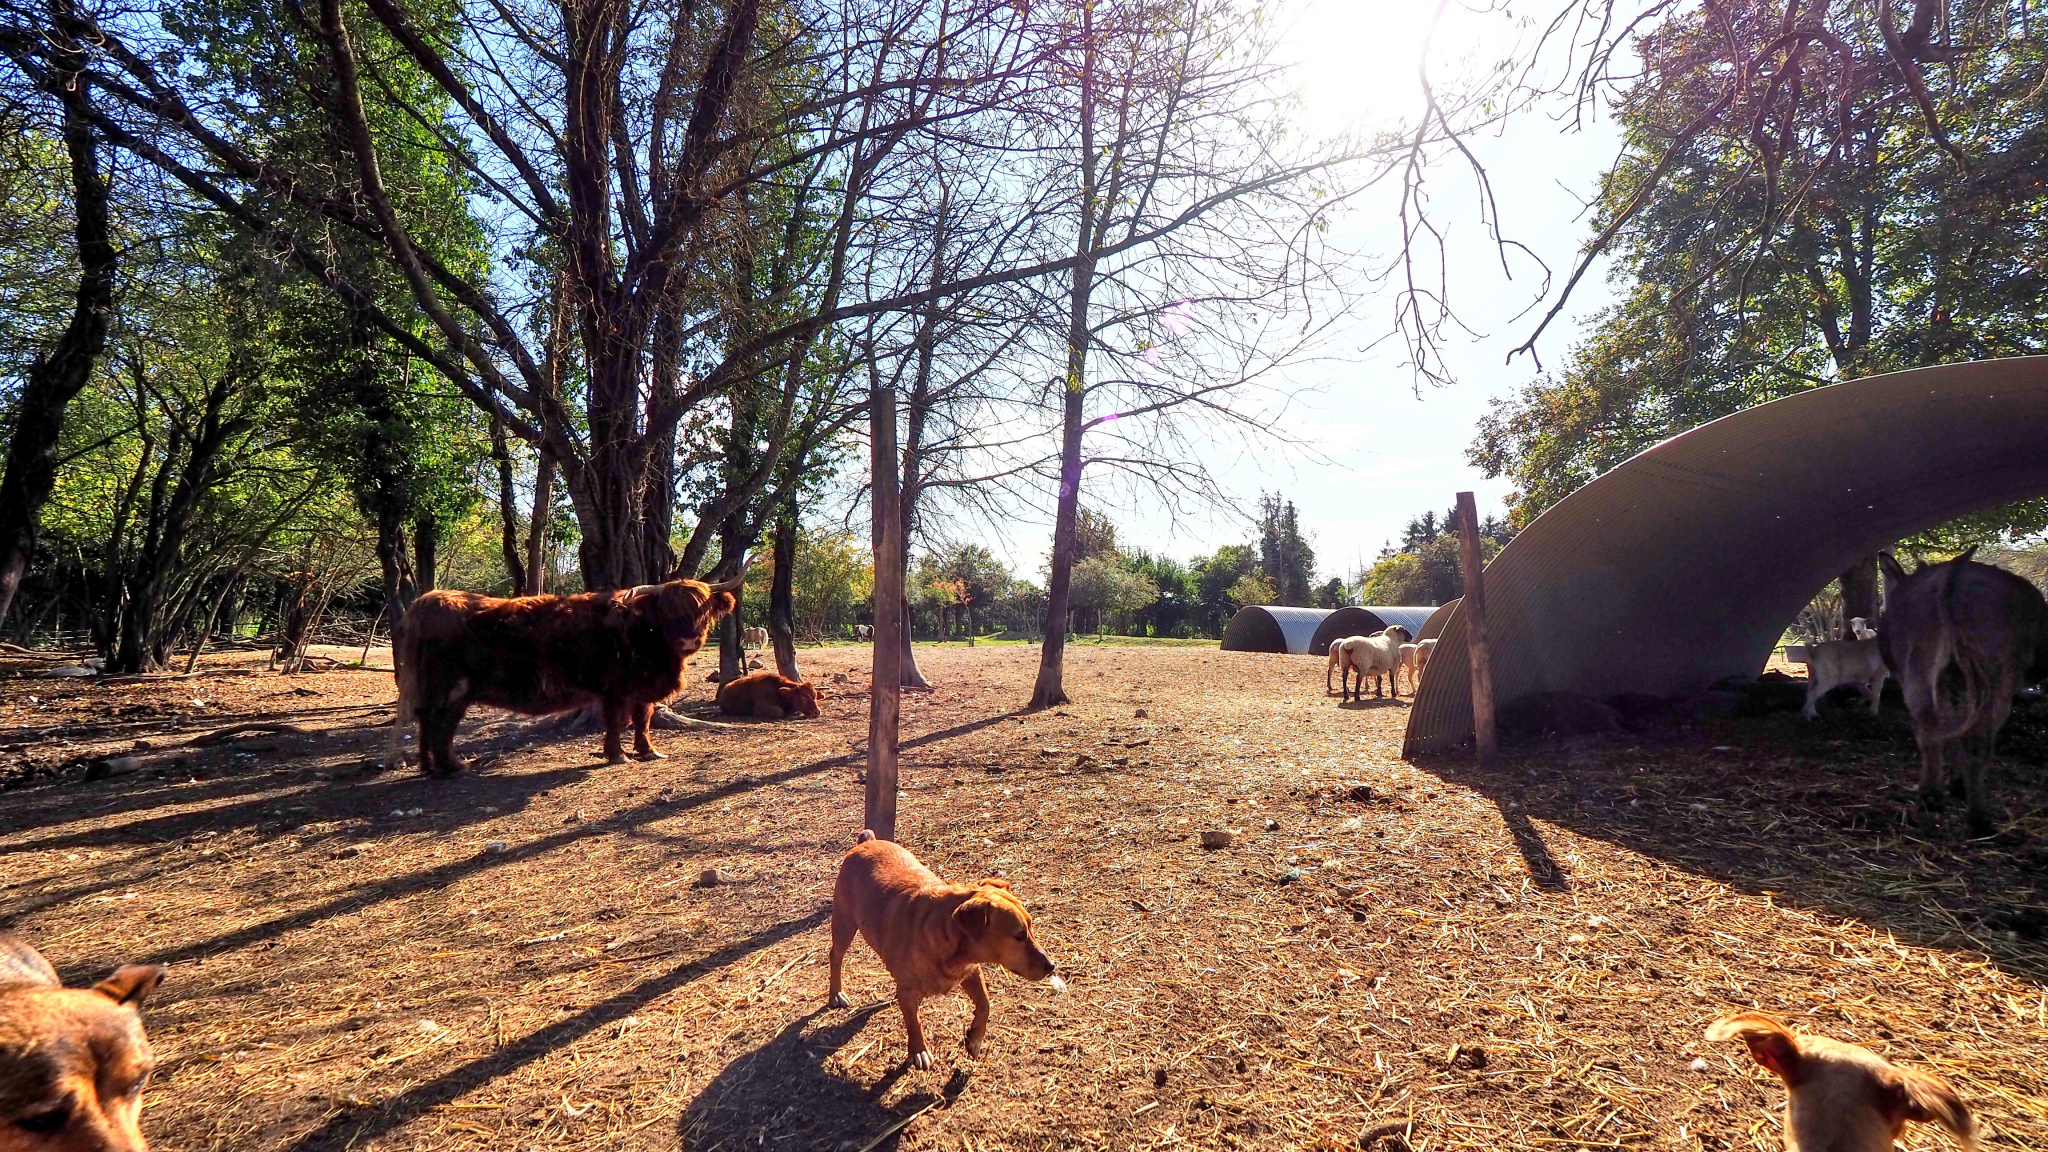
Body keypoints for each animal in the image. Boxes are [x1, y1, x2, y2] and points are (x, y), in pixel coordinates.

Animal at [387, 569, 741, 774]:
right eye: (668, 610)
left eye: (703, 609)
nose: (689, 639)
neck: (644, 631)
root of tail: (431, 600)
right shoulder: (614, 688)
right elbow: (616, 721)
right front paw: (617, 755)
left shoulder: (642, 687)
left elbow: (644, 718)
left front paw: (649, 751)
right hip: (446, 685)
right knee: (436, 721)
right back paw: (450, 766)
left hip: (454, 690)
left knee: (436, 722)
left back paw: (436, 766)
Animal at [827, 824, 1056, 1065]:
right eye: (1019, 935)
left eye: (1031, 927)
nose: (1051, 966)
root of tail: (866, 842)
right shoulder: (908, 992)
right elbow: (914, 1022)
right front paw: (918, 1050)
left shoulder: (971, 972)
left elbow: (985, 1003)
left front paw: (975, 1039)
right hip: (844, 924)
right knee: (835, 956)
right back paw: (836, 994)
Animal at [1875, 545, 2039, 824]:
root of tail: (1953, 575)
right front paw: (1958, 783)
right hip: (1996, 677)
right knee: (1976, 740)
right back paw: (1978, 817)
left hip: (1920, 668)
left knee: (1929, 729)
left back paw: (1931, 795)